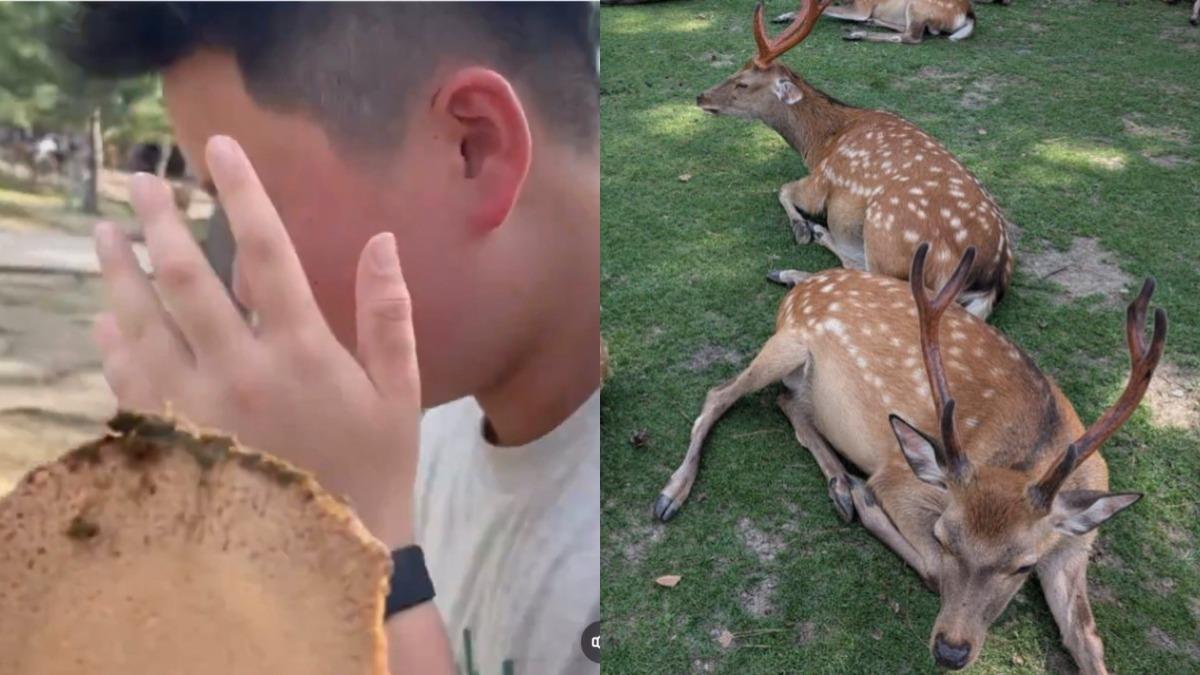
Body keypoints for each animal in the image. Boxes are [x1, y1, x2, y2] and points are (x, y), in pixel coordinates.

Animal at [654, 244, 1167, 672]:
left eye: (1024, 566)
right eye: (943, 537)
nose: (951, 651)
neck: (1029, 450)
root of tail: (805, 286)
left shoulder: (1076, 542)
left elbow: (1086, 637)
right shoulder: (900, 478)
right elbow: (933, 569)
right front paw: (865, 500)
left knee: (788, 403)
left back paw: (839, 484)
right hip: (786, 343)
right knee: (720, 394)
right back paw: (674, 494)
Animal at [697, 0, 1013, 318]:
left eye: (743, 84)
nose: (701, 97)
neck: (820, 143)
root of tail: (992, 280)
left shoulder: (821, 182)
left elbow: (783, 189)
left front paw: (801, 228)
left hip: (886, 230)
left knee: (876, 279)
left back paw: (792, 266)